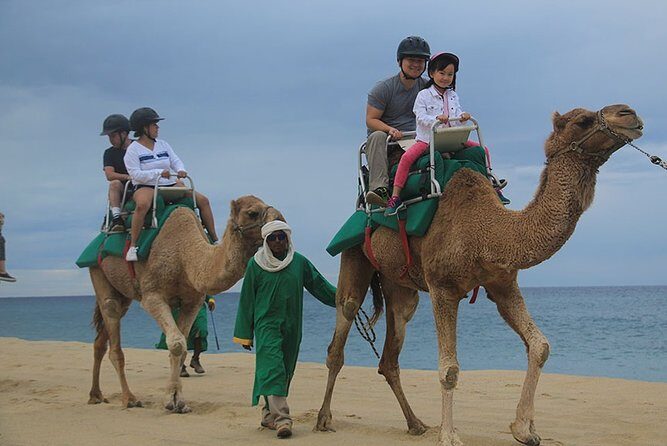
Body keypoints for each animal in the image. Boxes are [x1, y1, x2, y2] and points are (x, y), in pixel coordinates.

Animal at [87, 195, 283, 413]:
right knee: (112, 321)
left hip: (123, 294)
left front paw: (179, 401)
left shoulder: (193, 302)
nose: (281, 224)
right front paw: (170, 401)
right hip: (98, 270)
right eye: (252, 213)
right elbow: (177, 343)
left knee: (101, 339)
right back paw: (129, 398)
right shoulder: (153, 295)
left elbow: (181, 349)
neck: (185, 254)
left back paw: (95, 395)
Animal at [315, 104, 644, 446]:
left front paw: (524, 429)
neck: (487, 230)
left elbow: (539, 345)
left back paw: (415, 423)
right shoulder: (442, 287)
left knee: (390, 354)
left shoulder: (502, 284)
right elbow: (449, 369)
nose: (629, 114)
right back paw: (324, 418)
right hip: (354, 253)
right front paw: (449, 436)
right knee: (343, 323)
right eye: (583, 121)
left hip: (399, 285)